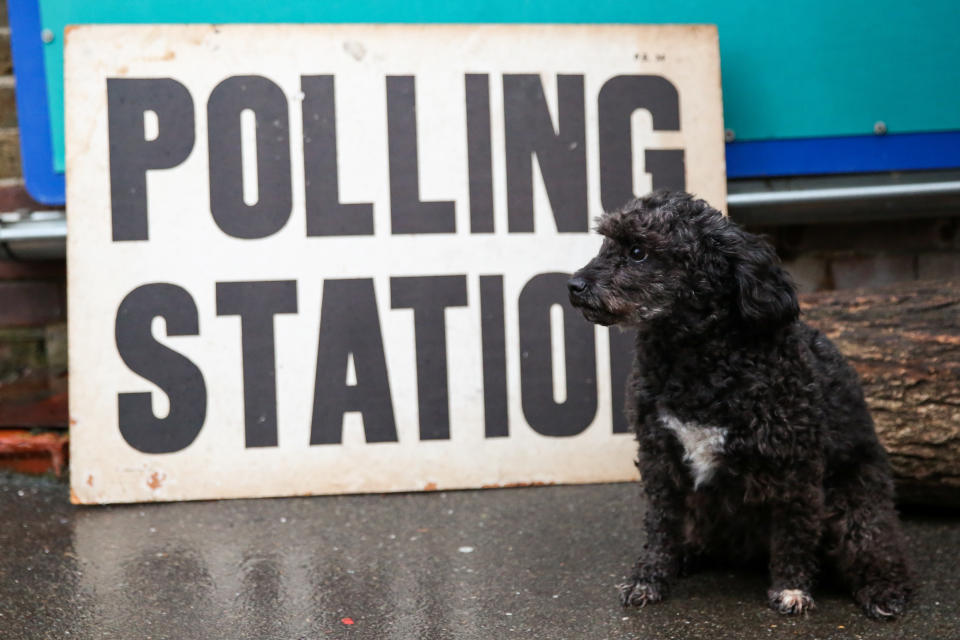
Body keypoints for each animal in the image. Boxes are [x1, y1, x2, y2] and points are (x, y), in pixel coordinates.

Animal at [568, 190, 916, 620]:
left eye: (637, 251)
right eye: (605, 243)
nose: (573, 285)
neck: (694, 359)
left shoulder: (794, 465)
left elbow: (794, 531)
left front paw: (791, 587)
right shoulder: (659, 458)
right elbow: (660, 527)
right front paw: (649, 578)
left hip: (856, 499)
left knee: (876, 542)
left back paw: (884, 588)